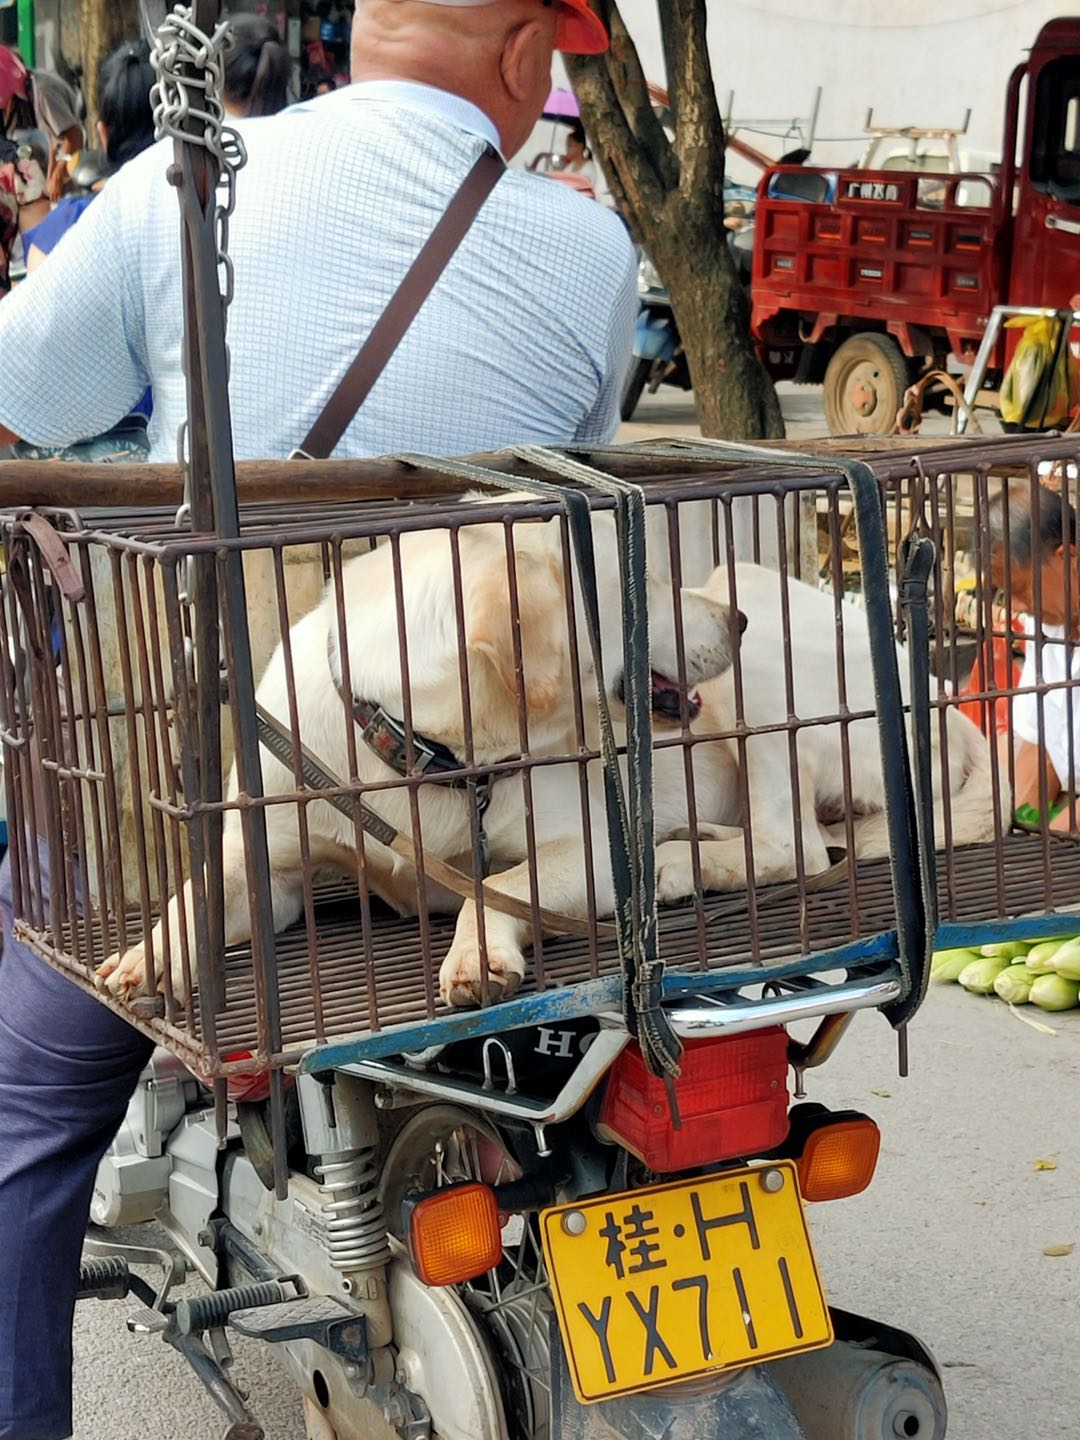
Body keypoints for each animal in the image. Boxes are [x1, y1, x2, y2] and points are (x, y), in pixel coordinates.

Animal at [99, 506, 743, 1013]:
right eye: (643, 584)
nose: (736, 620)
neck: (423, 750)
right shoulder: (271, 871)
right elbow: (196, 891)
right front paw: (149, 956)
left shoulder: (597, 854)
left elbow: (499, 883)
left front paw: (477, 956)